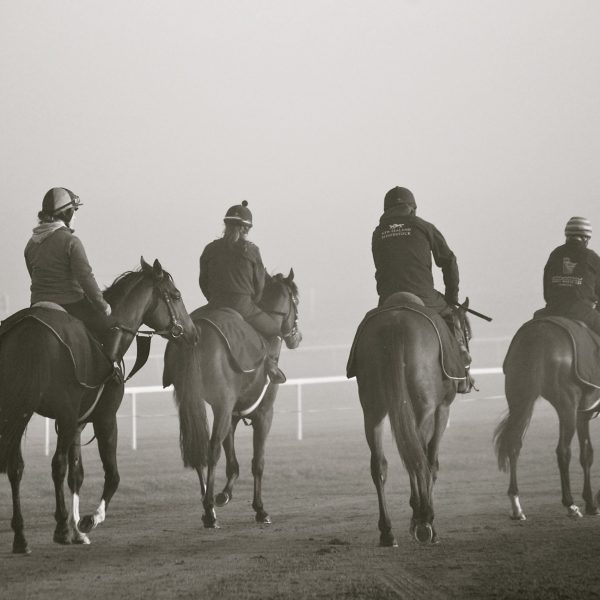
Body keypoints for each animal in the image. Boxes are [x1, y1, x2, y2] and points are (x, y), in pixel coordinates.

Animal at [0, 256, 197, 552]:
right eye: (176, 295)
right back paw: (60, 528)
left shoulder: (77, 424)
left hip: (18, 409)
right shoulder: (103, 418)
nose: (193, 334)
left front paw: (77, 529)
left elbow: (77, 475)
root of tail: (29, 329)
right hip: (57, 412)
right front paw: (87, 521)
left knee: (16, 466)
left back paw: (22, 537)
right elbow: (111, 475)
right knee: (55, 465)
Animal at [163, 270, 300, 528]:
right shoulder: (263, 415)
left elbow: (232, 463)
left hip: (192, 402)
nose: (296, 337)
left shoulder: (232, 415)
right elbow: (257, 462)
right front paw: (260, 509)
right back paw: (208, 511)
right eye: (296, 299)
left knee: (198, 448)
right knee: (211, 448)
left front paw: (224, 494)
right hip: (222, 406)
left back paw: (208, 506)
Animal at [352, 292, 468, 548]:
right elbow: (431, 461)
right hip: (422, 408)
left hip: (372, 409)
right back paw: (424, 519)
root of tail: (395, 325)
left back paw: (387, 531)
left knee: (380, 464)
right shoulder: (441, 410)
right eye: (465, 330)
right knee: (418, 459)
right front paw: (425, 521)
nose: (467, 359)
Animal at [492, 318, 600, 520]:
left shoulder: (583, 415)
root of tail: (539, 336)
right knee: (562, 451)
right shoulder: (579, 414)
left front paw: (591, 502)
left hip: (520, 399)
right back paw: (570, 505)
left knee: (514, 444)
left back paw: (516, 506)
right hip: (567, 407)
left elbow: (587, 454)